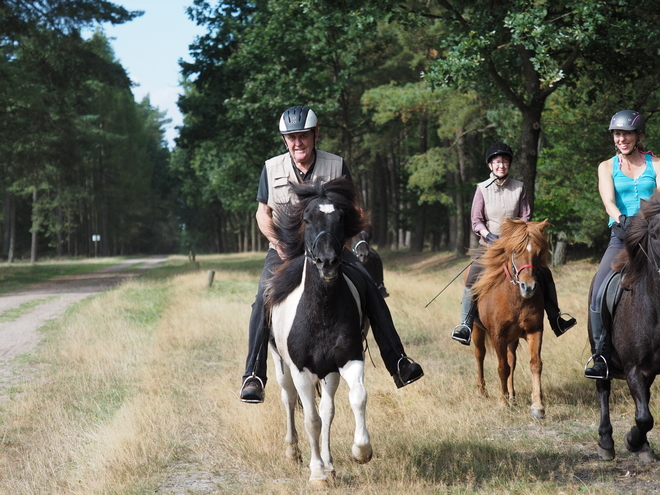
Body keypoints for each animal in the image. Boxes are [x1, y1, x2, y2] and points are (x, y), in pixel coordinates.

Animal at [266, 176, 374, 486]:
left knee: (328, 409)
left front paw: (360, 452)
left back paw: (330, 463)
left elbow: (356, 398)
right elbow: (311, 420)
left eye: (341, 218)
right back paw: (293, 453)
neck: (322, 314)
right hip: (281, 365)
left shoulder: (348, 360)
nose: (327, 262)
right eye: (306, 219)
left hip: (329, 372)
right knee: (288, 399)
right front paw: (316, 474)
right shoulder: (301, 370)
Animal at [472, 219, 548, 420]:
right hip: (477, 330)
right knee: (480, 355)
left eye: (538, 253)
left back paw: (512, 396)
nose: (528, 287)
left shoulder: (534, 331)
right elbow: (502, 368)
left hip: (512, 339)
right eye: (515, 251)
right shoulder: (497, 335)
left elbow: (535, 364)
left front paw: (537, 406)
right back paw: (482, 392)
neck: (515, 299)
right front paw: (502, 401)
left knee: (512, 361)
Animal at [592, 192, 660, 464]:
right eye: (654, 234)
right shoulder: (634, 368)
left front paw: (640, 444)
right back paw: (605, 442)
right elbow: (644, 418)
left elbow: (644, 413)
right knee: (603, 390)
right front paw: (632, 441)